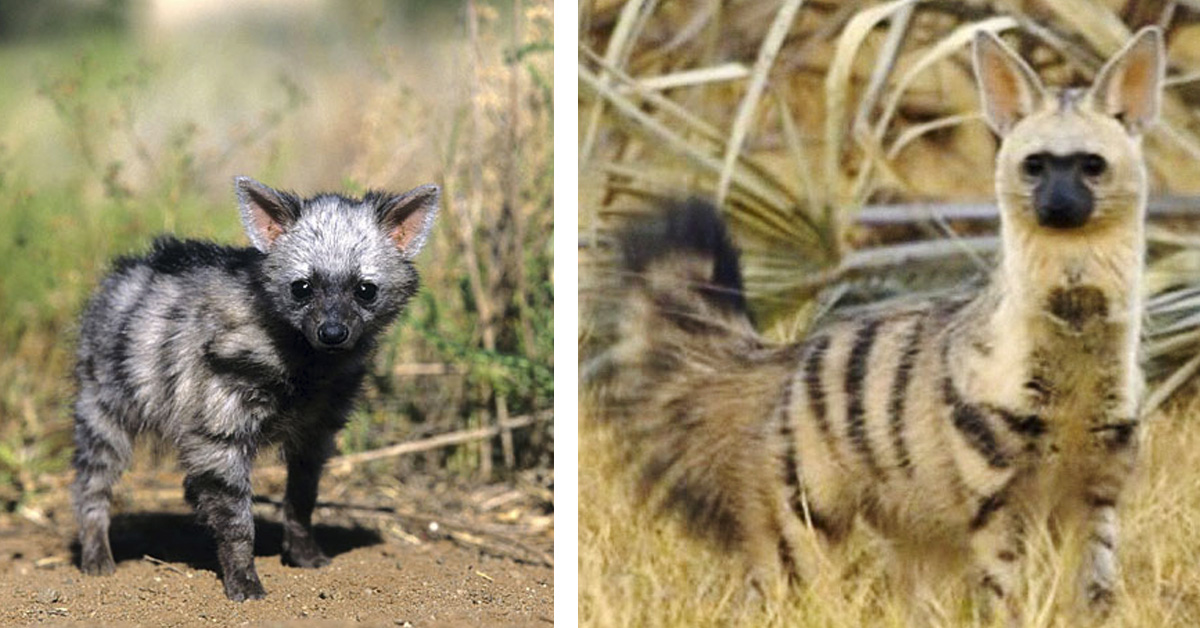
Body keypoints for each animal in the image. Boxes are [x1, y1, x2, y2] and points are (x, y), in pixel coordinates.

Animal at [71, 177, 439, 601]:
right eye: (302, 287)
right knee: (93, 481)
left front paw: (306, 556)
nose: (332, 333)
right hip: (105, 401)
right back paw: (97, 559)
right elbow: (237, 517)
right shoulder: (219, 423)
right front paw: (244, 582)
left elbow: (302, 497)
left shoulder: (317, 428)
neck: (308, 365)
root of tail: (126, 272)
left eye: (365, 289)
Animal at [589, 27, 1163, 618]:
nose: (1058, 205)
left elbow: (1095, 588)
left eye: (1091, 164)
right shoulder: (995, 497)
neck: (1076, 357)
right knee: (777, 588)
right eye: (1035, 164)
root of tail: (787, 359)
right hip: (806, 511)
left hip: (918, 529)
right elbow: (1007, 593)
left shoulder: (1097, 489)